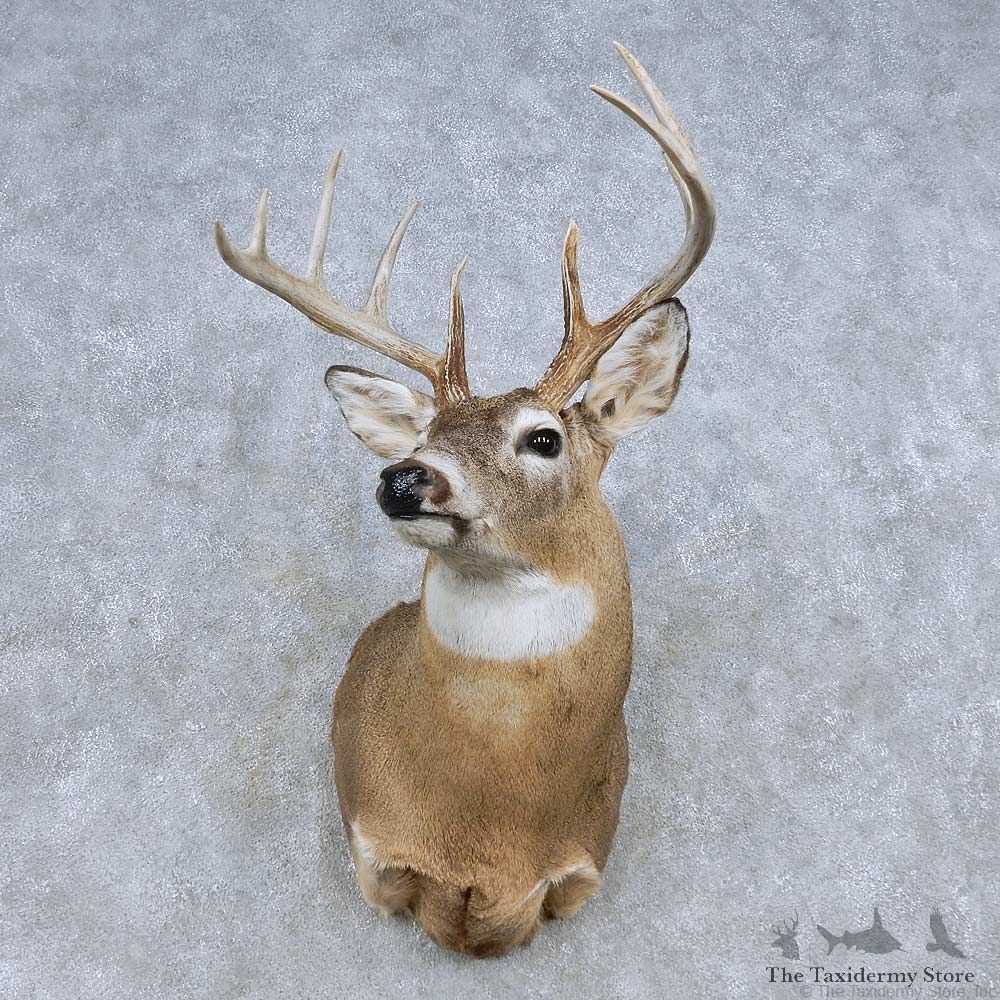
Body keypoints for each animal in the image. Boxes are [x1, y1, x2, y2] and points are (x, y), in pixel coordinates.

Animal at [214, 43, 715, 957]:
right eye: (421, 439)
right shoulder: (372, 841)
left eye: (544, 438)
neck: (484, 828)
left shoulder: (584, 862)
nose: (404, 479)